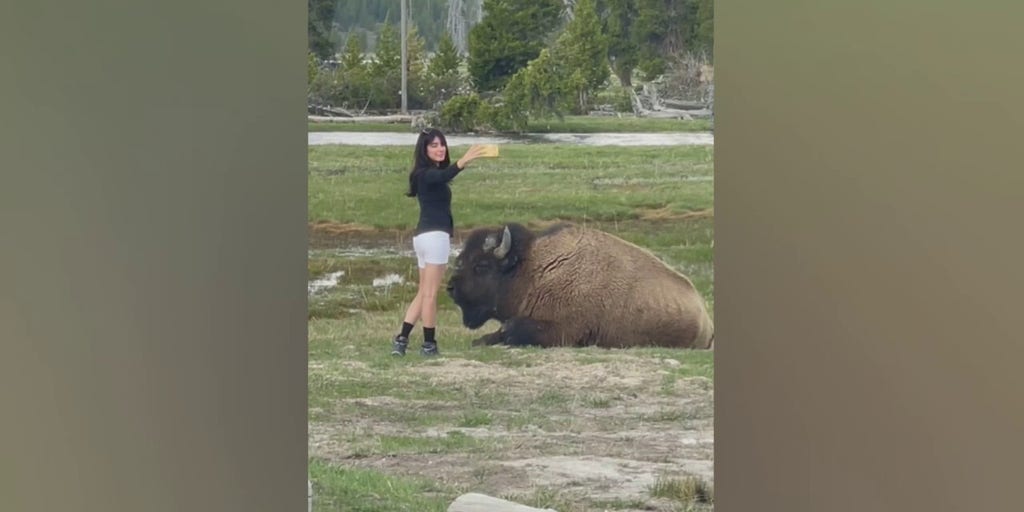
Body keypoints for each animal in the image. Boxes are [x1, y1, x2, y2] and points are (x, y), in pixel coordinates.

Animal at [446, 223, 714, 349]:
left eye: (481, 265)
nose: (451, 288)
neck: (533, 269)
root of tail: (705, 316)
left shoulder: (564, 329)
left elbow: (511, 329)